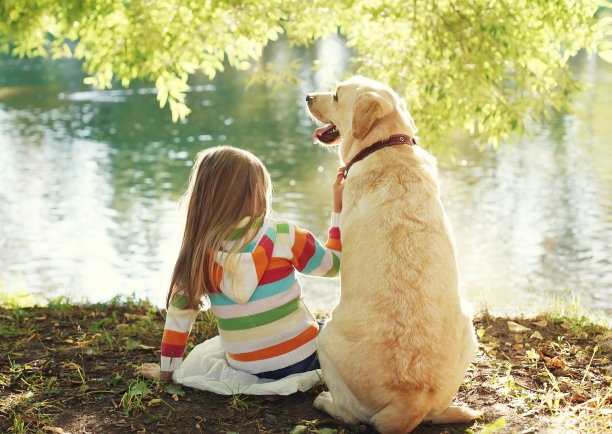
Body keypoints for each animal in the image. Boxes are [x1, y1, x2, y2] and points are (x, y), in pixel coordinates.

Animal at [306, 76, 478, 432]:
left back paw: (327, 402)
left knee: (352, 415)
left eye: (336, 95)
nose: (307, 96)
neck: (387, 145)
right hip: (471, 327)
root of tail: (412, 400)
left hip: (325, 337)